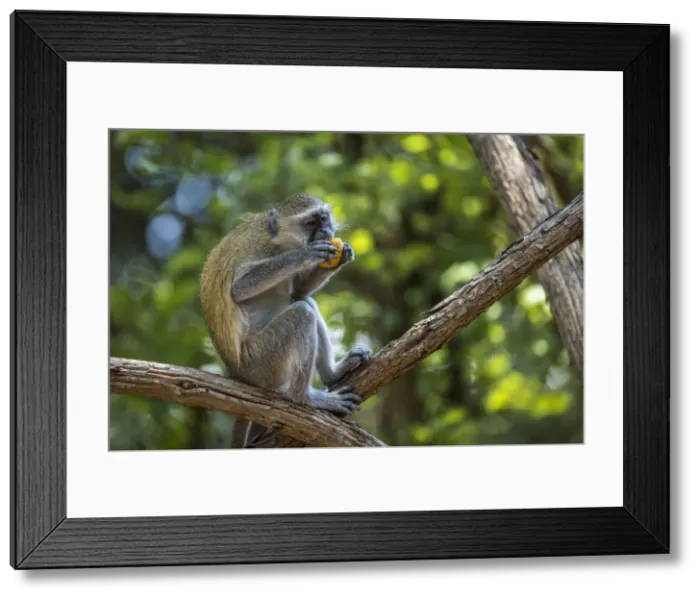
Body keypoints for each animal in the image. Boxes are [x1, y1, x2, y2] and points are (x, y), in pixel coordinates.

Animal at [199, 192, 372, 448]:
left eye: (324, 218)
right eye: (311, 223)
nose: (326, 230)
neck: (280, 242)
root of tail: (237, 374)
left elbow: (298, 290)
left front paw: (343, 255)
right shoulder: (261, 248)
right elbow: (239, 288)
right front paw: (305, 255)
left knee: (305, 301)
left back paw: (332, 374)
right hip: (261, 363)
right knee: (301, 313)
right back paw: (305, 398)